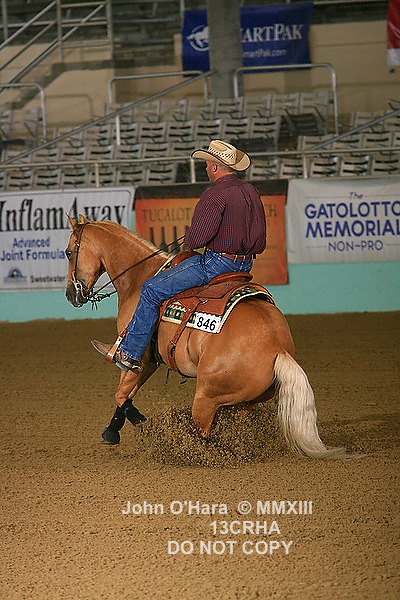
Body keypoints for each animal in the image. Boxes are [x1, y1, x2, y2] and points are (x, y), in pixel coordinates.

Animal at [65, 214, 350, 460]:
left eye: (68, 252)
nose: (70, 294)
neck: (139, 277)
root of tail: (277, 349)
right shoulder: (152, 361)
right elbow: (126, 394)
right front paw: (113, 430)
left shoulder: (138, 356)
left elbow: (122, 395)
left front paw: (138, 426)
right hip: (244, 403)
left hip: (206, 397)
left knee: (202, 436)